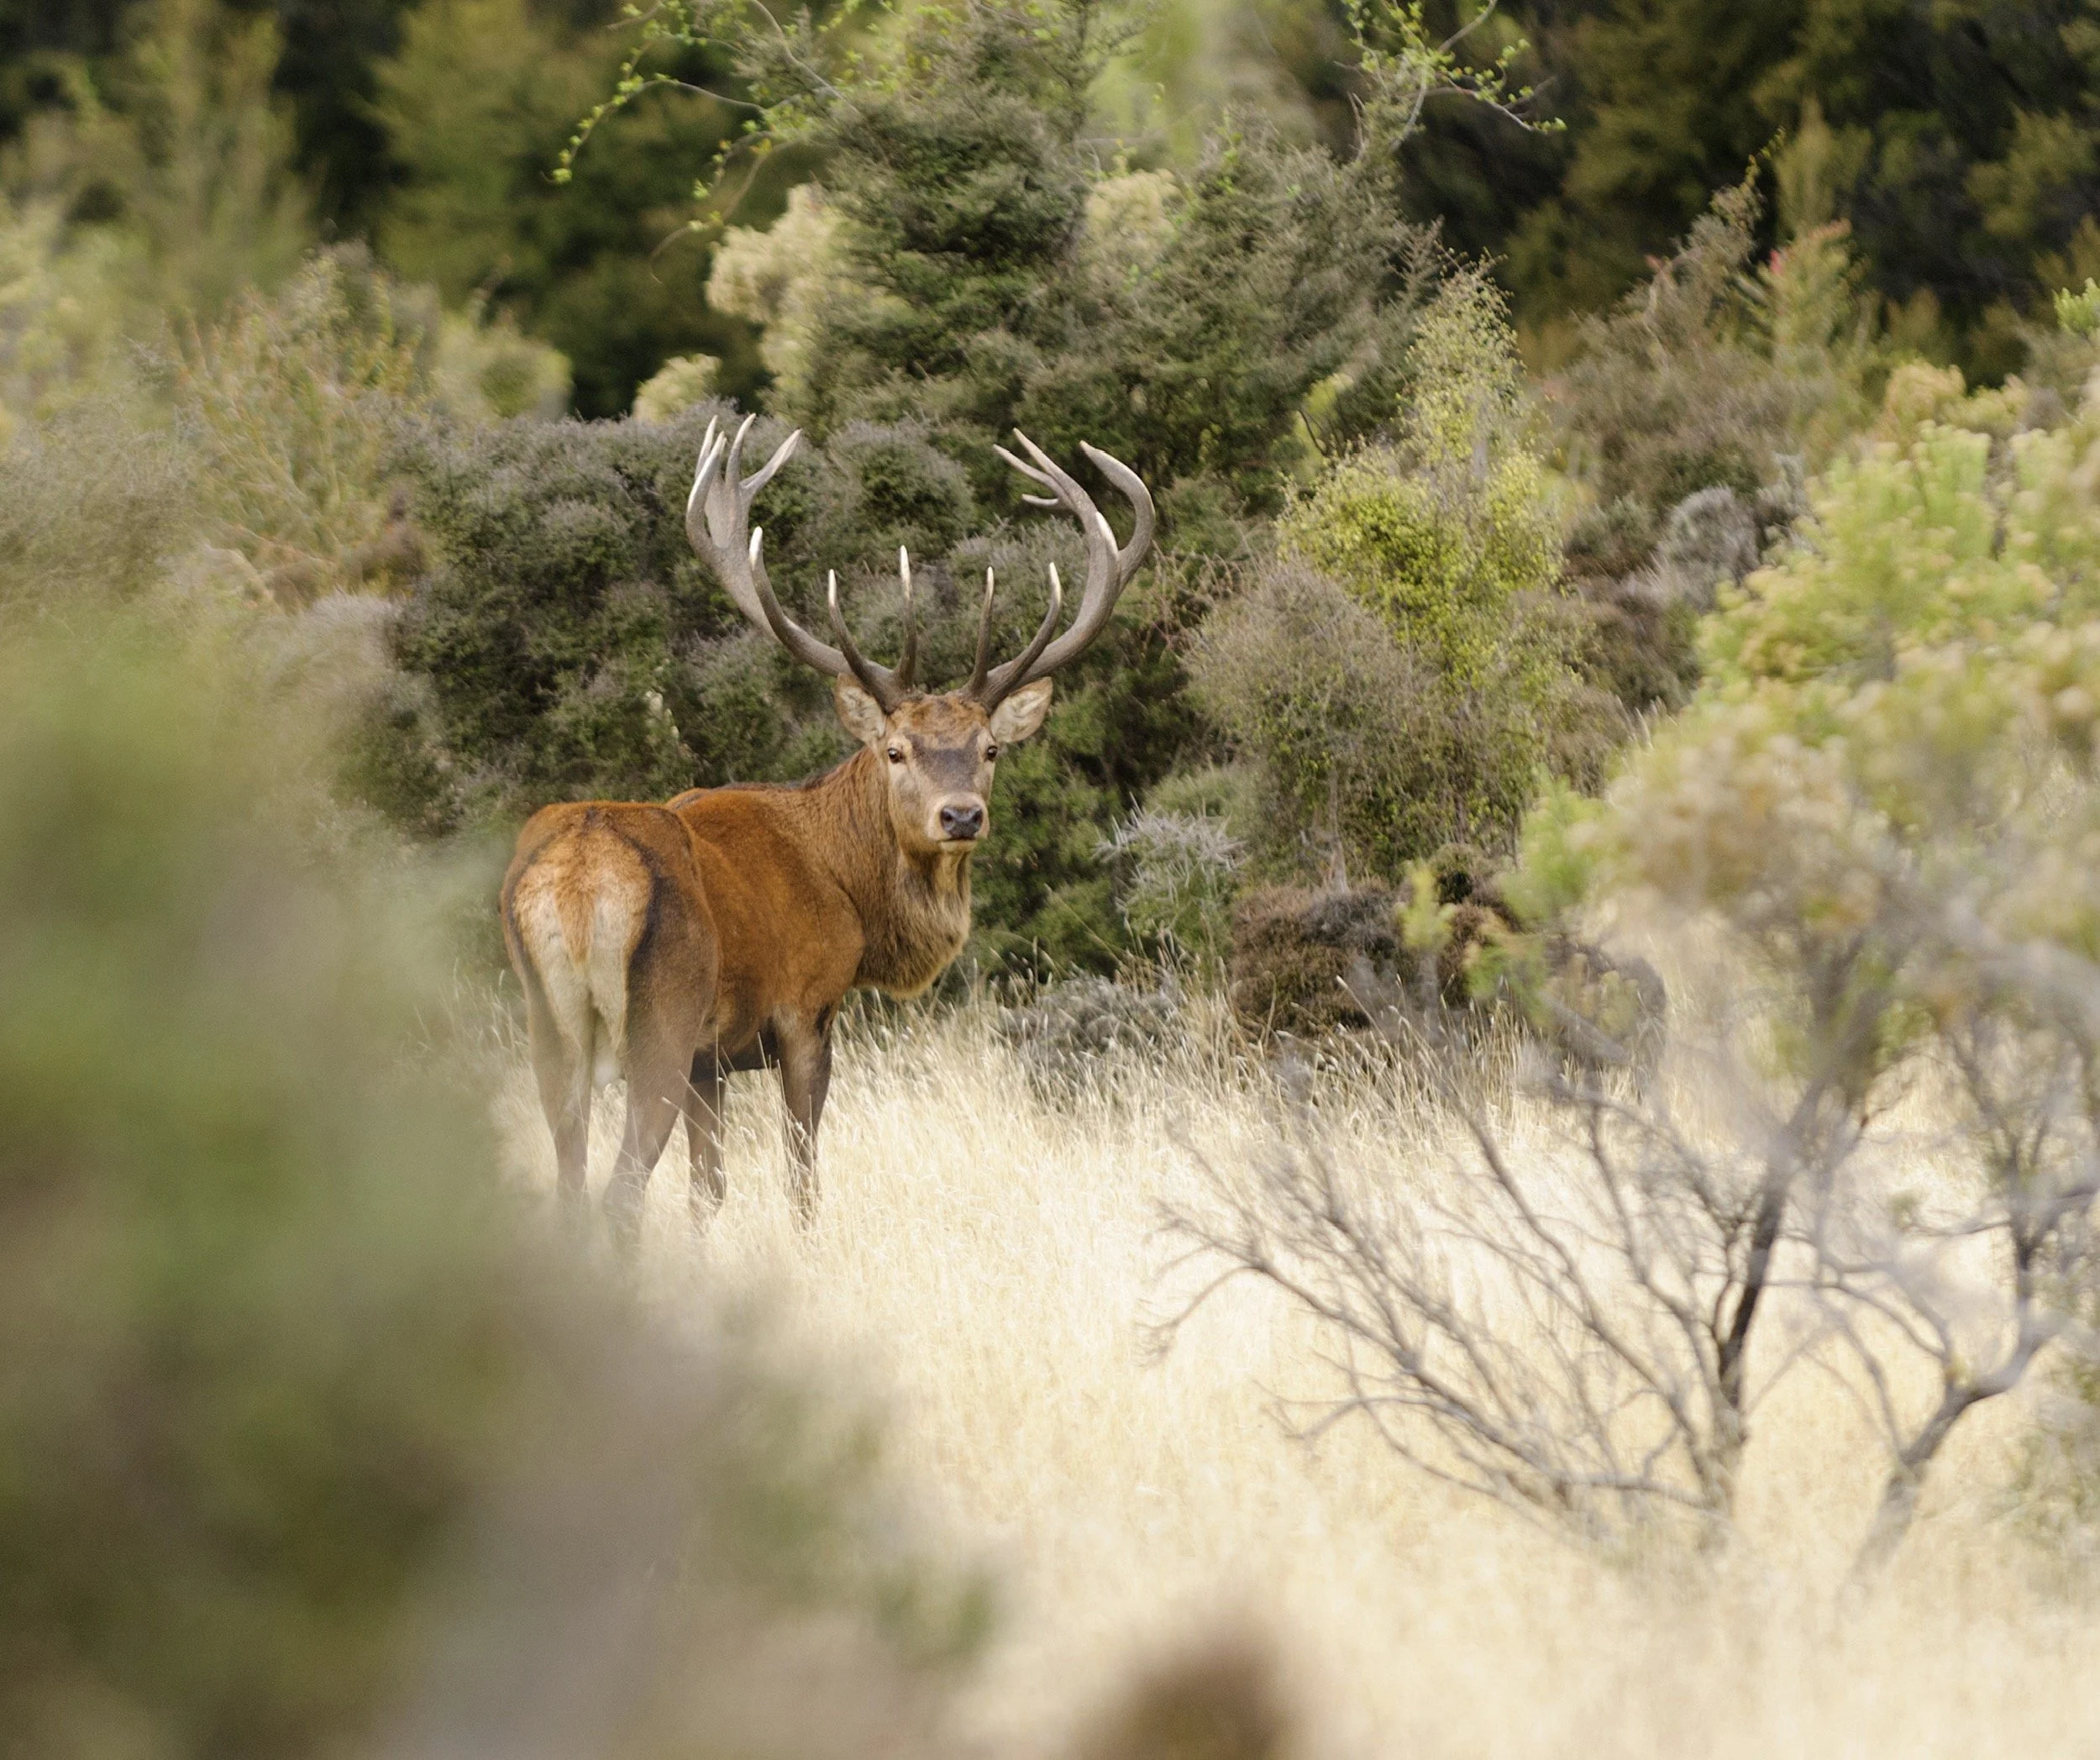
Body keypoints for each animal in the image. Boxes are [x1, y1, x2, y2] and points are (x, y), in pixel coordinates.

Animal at [501, 417, 1154, 1245]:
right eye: (895, 749)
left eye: (989, 749)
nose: (960, 815)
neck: (847, 888)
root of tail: (577, 882)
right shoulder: (805, 1009)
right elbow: (802, 1181)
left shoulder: (712, 1060)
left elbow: (708, 1191)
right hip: (660, 1019)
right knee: (620, 1190)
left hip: (545, 1029)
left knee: (569, 1184)